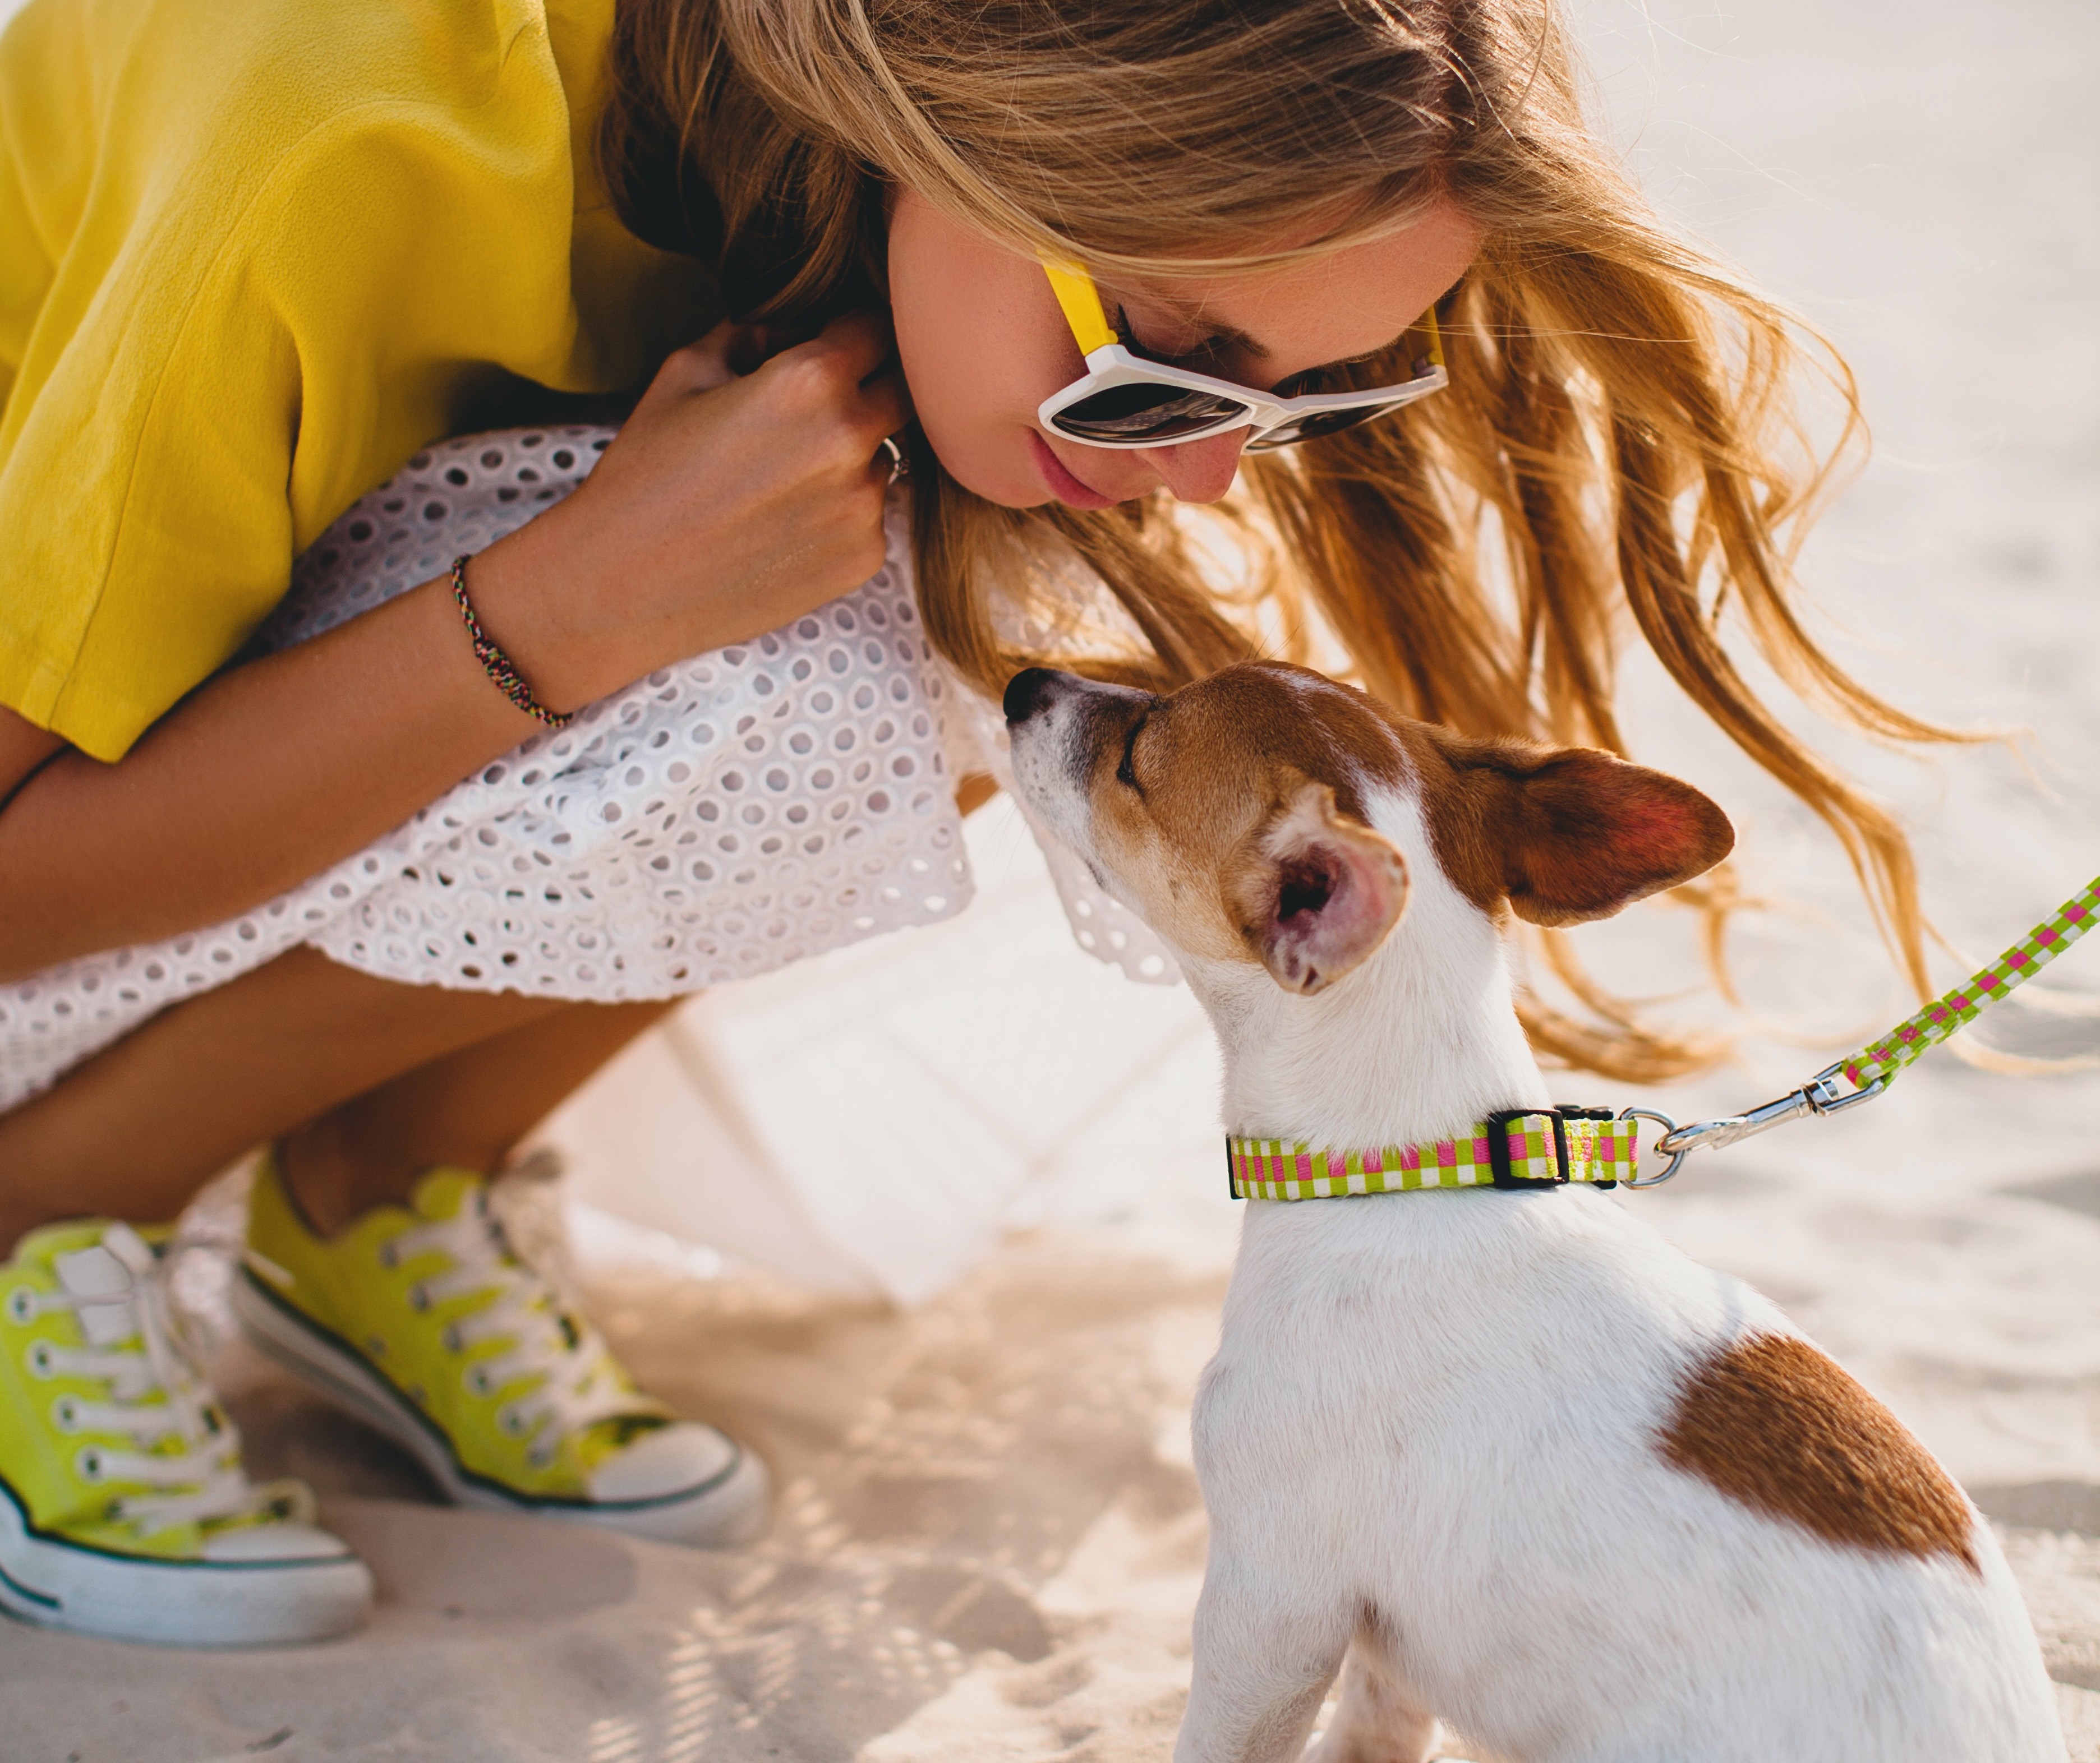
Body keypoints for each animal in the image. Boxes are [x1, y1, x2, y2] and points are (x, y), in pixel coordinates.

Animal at [1003, 659, 2066, 1763]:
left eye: (1134, 760)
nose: (1024, 679)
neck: (1407, 1172)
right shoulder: (1387, 1653)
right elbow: (1373, 1735)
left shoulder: (1271, 1608)